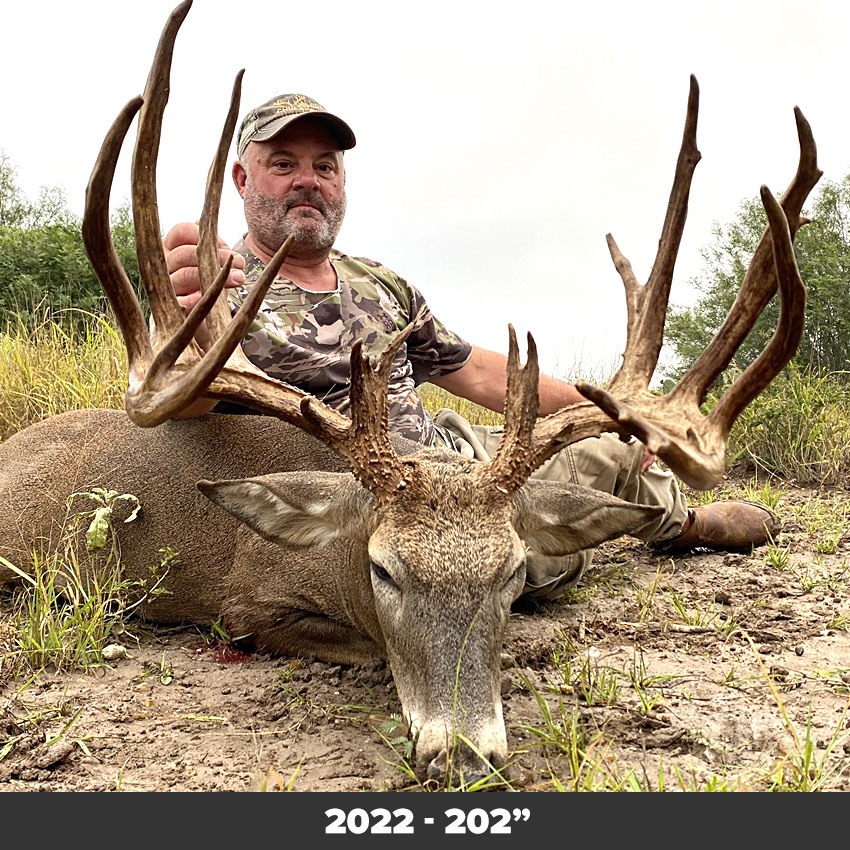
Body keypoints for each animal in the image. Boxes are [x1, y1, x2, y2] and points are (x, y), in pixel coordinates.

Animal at [0, 0, 821, 785]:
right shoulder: (244, 606)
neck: (332, 557)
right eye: (384, 570)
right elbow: (365, 649)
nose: (463, 757)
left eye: (509, 571)